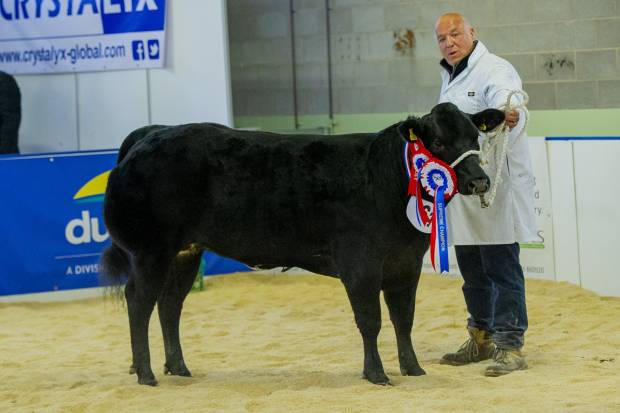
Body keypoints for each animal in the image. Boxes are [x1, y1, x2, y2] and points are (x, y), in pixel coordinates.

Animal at [100, 101, 504, 384]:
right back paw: (146, 373)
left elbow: (404, 319)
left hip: (186, 253)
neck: (386, 177)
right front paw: (376, 374)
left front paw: (414, 368)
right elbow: (370, 321)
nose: (480, 181)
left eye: (475, 138)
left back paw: (178, 366)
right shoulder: (360, 263)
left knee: (170, 305)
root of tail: (152, 133)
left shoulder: (405, 264)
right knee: (139, 302)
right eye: (438, 142)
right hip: (151, 251)